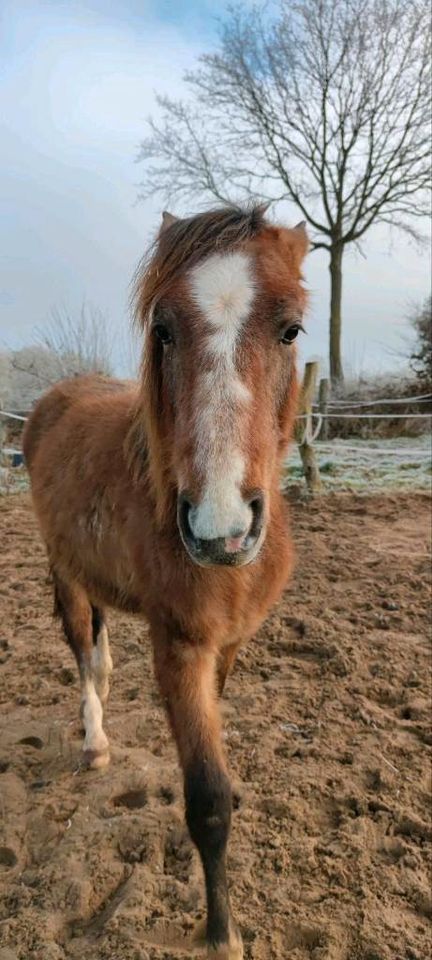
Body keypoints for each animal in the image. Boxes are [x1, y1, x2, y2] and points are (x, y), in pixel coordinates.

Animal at [22, 206, 308, 960]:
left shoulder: (229, 644)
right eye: (165, 330)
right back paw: (94, 743)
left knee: (100, 657)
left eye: (292, 329)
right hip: (68, 575)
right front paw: (221, 932)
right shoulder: (179, 646)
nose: (220, 528)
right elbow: (205, 801)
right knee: (84, 656)